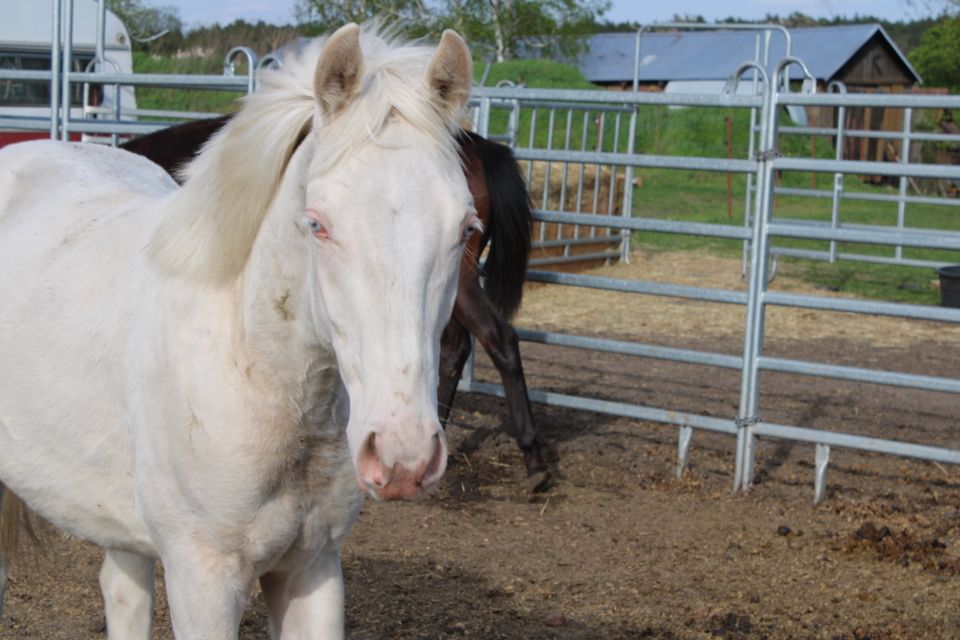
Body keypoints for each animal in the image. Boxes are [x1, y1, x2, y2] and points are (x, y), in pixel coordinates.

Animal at [0, 22, 476, 636]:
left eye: (466, 227)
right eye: (317, 224)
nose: (403, 457)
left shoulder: (312, 568)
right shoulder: (202, 578)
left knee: (122, 592)